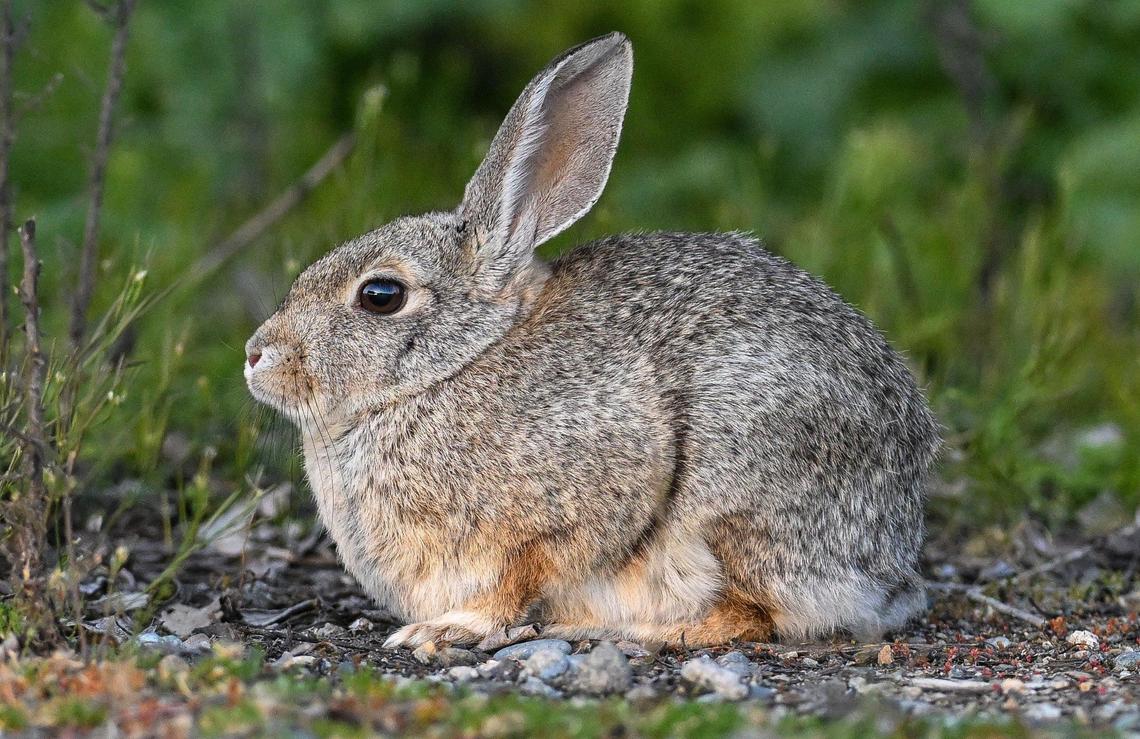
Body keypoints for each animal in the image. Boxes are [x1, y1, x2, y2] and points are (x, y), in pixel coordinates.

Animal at [244, 32, 940, 648]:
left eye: (380, 295)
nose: (256, 355)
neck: (456, 365)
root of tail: (889, 565)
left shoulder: (580, 497)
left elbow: (526, 573)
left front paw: (449, 628)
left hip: (735, 501)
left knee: (750, 615)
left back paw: (629, 631)